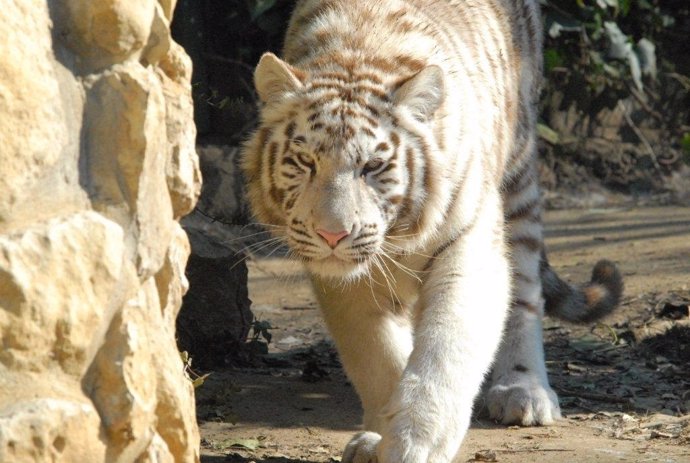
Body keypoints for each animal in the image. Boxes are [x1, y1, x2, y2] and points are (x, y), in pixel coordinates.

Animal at [239, 1, 620, 462]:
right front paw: (379, 439)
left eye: (373, 167)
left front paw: (415, 443)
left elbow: (445, 354)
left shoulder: (470, 249)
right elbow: (377, 359)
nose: (333, 235)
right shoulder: (346, 283)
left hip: (520, 175)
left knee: (526, 294)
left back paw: (523, 390)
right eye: (305, 162)